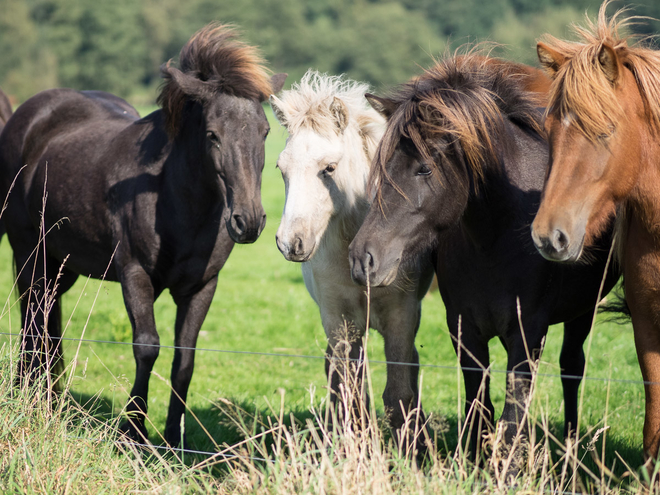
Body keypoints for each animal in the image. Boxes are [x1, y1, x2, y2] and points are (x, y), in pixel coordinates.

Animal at [1, 25, 288, 448]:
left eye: (266, 132)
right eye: (212, 135)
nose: (248, 221)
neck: (173, 202)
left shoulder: (202, 286)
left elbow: (184, 358)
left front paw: (173, 439)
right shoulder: (134, 275)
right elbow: (147, 347)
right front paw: (133, 432)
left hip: (62, 265)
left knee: (48, 322)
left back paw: (52, 398)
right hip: (28, 253)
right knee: (32, 320)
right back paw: (30, 395)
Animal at [268, 70, 434, 442]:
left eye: (329, 168)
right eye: (281, 168)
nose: (290, 243)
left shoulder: (402, 317)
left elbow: (399, 393)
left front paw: (408, 450)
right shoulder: (340, 320)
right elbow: (350, 393)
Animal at [350, 56, 620, 466]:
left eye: (424, 168)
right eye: (381, 168)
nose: (362, 259)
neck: (497, 236)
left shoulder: (528, 333)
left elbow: (512, 415)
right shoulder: (464, 330)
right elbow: (480, 404)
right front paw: (474, 463)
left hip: (582, 311)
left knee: (572, 368)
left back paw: (571, 451)